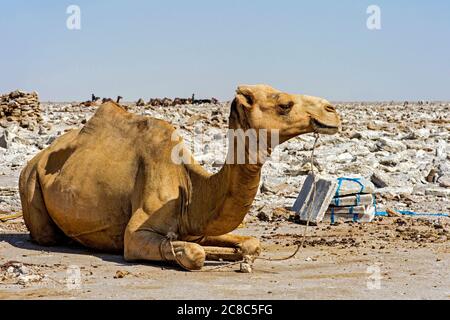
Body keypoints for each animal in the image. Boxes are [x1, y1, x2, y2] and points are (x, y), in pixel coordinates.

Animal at [18, 84, 342, 270]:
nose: (332, 110)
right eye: (284, 104)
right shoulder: (135, 236)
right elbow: (194, 254)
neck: (191, 186)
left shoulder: (196, 225)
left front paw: (240, 257)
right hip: (29, 182)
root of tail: (36, 159)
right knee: (45, 234)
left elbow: (250, 243)